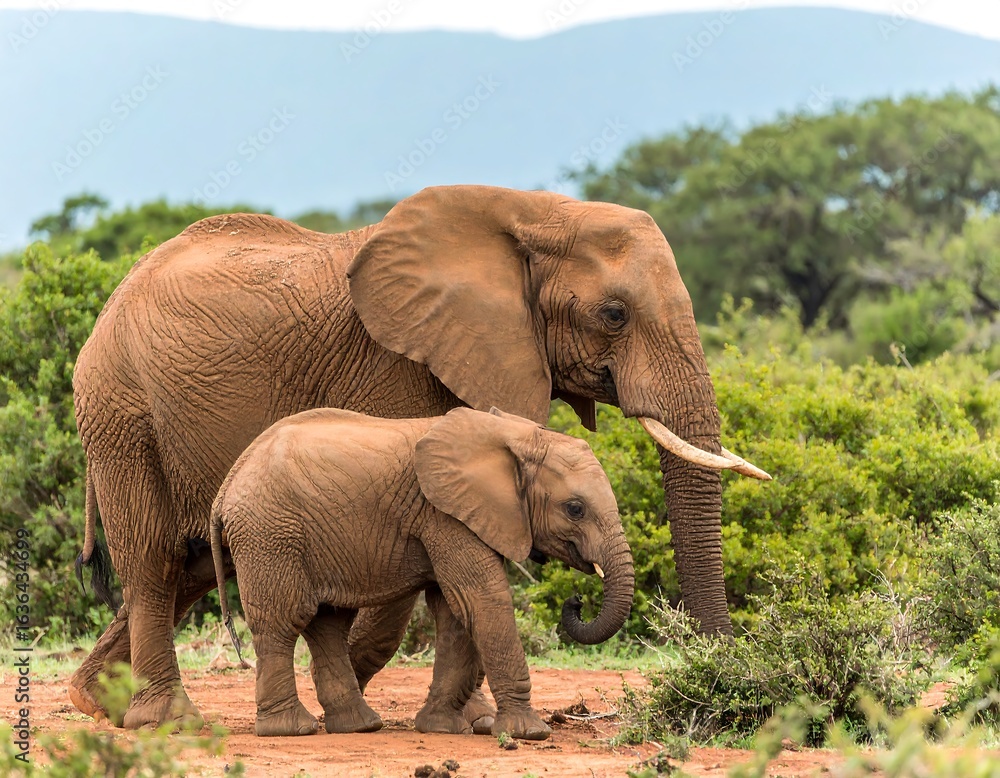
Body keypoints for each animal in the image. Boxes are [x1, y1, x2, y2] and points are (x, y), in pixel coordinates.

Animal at [208, 406, 633, 739]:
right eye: (575, 509)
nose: (576, 599)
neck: (511, 434)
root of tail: (226, 484)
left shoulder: (454, 515)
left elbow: (457, 613)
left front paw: (443, 727)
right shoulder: (445, 514)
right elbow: (482, 599)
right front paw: (529, 733)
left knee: (327, 624)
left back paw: (359, 726)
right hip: (270, 534)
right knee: (283, 621)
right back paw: (291, 729)